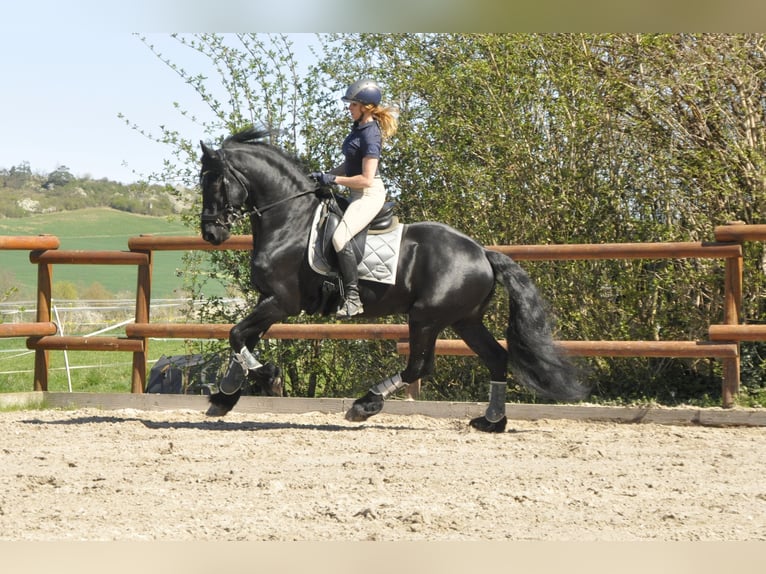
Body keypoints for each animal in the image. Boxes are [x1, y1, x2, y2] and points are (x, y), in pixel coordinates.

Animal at [199, 126, 589, 433]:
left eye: (215, 181)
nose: (211, 234)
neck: (289, 219)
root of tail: (482, 253)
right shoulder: (268, 299)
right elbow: (241, 339)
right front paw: (226, 394)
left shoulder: (282, 302)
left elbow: (236, 335)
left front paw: (267, 377)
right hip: (464, 320)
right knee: (496, 358)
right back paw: (492, 421)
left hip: (426, 318)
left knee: (420, 365)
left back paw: (365, 404)